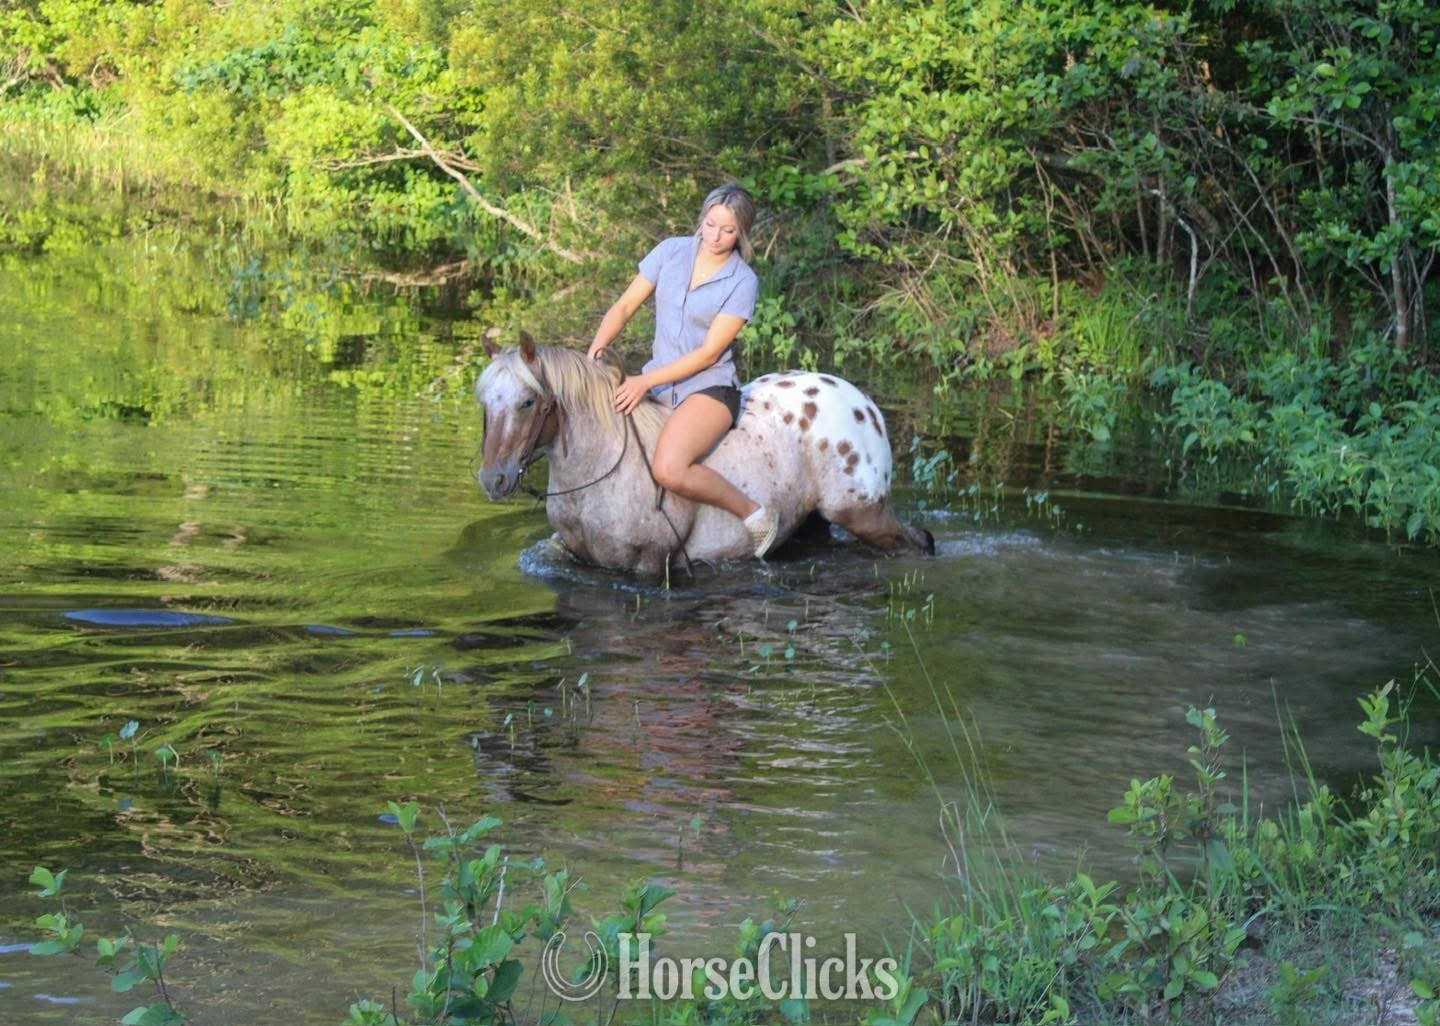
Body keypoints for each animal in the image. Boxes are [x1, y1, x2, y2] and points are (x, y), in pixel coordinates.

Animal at [475, 336, 933, 576]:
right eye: (485, 401)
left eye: (528, 402)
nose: (493, 479)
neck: (599, 472)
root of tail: (864, 405)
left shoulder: (650, 563)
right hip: (813, 523)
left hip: (862, 513)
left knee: (915, 542)